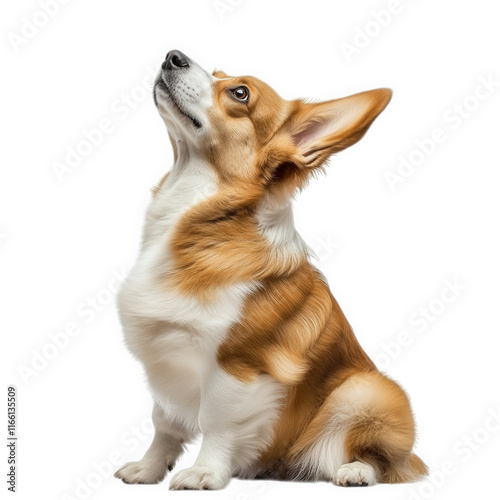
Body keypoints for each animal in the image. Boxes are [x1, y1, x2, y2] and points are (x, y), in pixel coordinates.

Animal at [115, 49, 428, 488]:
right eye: (218, 73)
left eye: (240, 93)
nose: (173, 56)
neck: (195, 213)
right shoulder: (165, 361)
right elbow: (165, 423)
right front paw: (148, 469)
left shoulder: (236, 365)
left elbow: (214, 422)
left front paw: (205, 472)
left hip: (365, 390)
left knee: (381, 459)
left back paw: (354, 471)